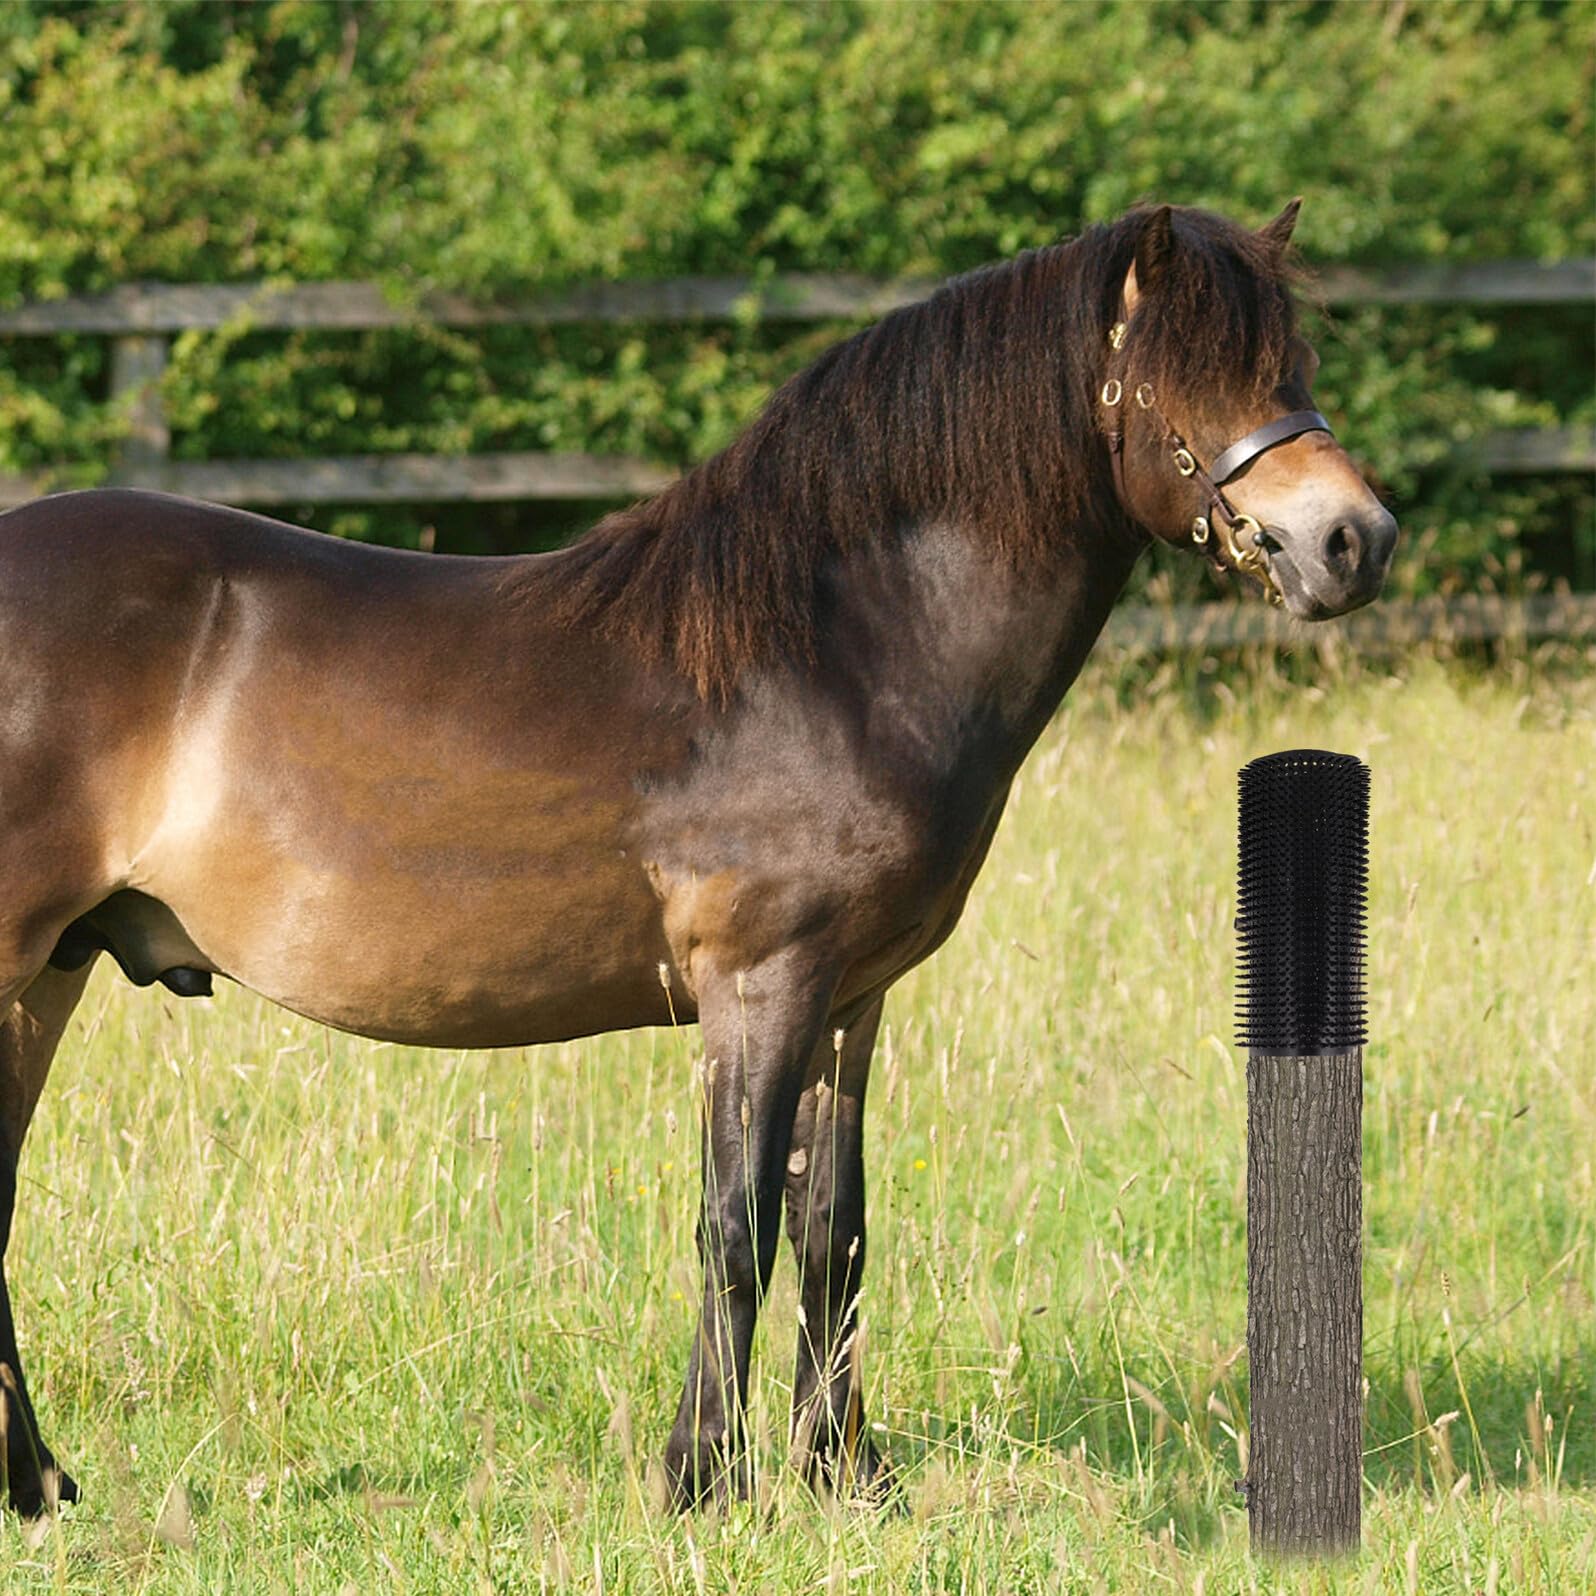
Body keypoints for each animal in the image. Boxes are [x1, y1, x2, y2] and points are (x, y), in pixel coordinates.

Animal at [0, 200, 1395, 1515]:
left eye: (1296, 358)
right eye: (1186, 374)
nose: (1352, 541)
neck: (836, 651)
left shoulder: (850, 999)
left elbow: (835, 1233)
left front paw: (848, 1478)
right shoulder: (757, 983)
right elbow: (736, 1227)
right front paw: (704, 1481)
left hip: (56, 968)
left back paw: (44, 1487)